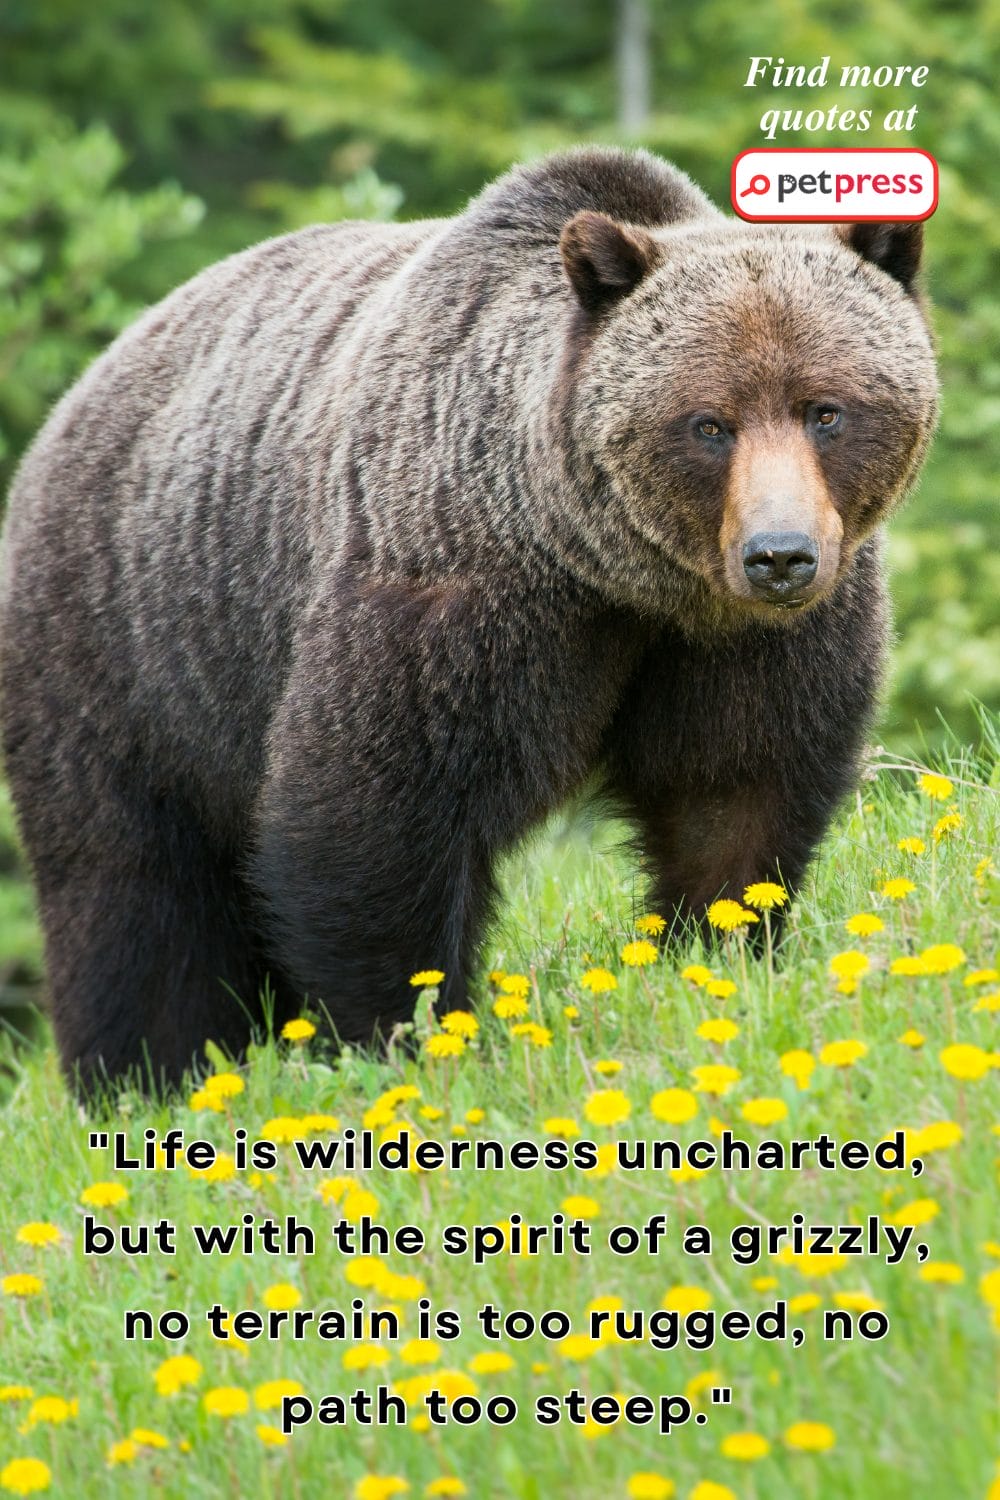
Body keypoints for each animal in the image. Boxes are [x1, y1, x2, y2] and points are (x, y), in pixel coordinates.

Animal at [0, 146, 938, 1095]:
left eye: (827, 410)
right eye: (709, 423)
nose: (779, 555)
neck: (614, 575)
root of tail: (67, 409)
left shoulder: (743, 642)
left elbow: (735, 790)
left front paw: (718, 950)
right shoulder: (455, 592)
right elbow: (374, 814)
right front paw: (404, 1031)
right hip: (129, 645)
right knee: (131, 886)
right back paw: (148, 1074)